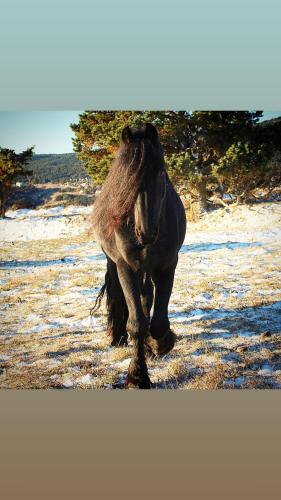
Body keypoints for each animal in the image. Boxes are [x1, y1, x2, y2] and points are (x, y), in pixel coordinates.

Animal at [91, 123, 185, 388]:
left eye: (160, 173)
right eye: (126, 178)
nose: (146, 233)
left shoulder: (167, 266)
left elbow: (158, 322)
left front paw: (159, 343)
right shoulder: (126, 266)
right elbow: (137, 324)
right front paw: (137, 376)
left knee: (146, 297)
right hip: (116, 263)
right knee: (121, 298)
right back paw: (118, 336)